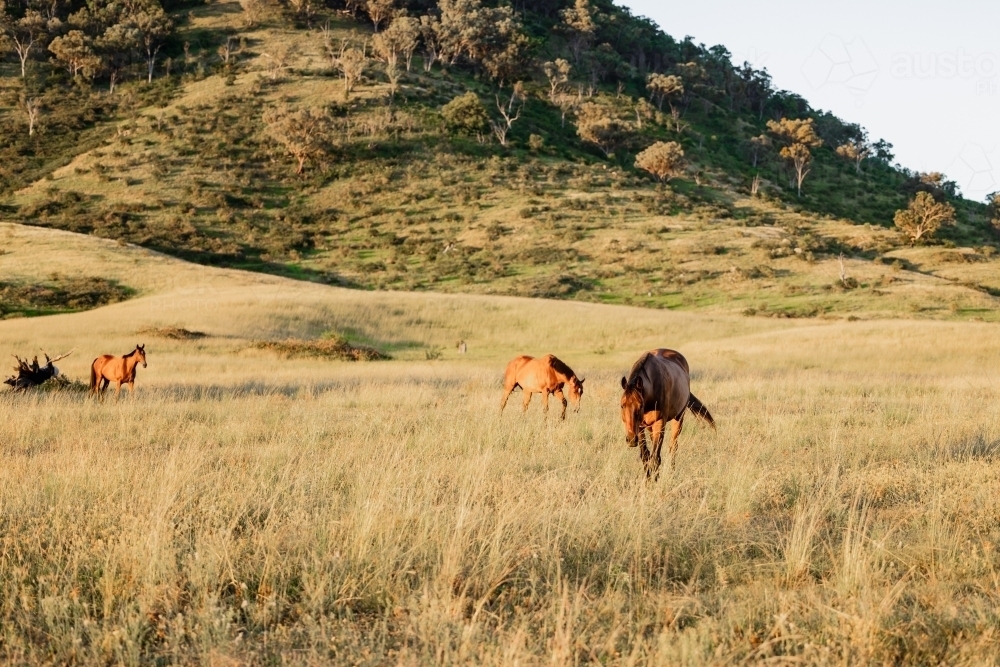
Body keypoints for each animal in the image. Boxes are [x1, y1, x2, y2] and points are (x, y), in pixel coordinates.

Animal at [620, 350, 716, 480]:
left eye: (640, 406)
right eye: (622, 405)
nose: (630, 439)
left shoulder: (660, 424)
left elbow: (655, 457)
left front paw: (655, 480)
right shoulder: (639, 428)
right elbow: (645, 456)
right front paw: (648, 479)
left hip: (678, 419)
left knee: (673, 447)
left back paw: (671, 472)